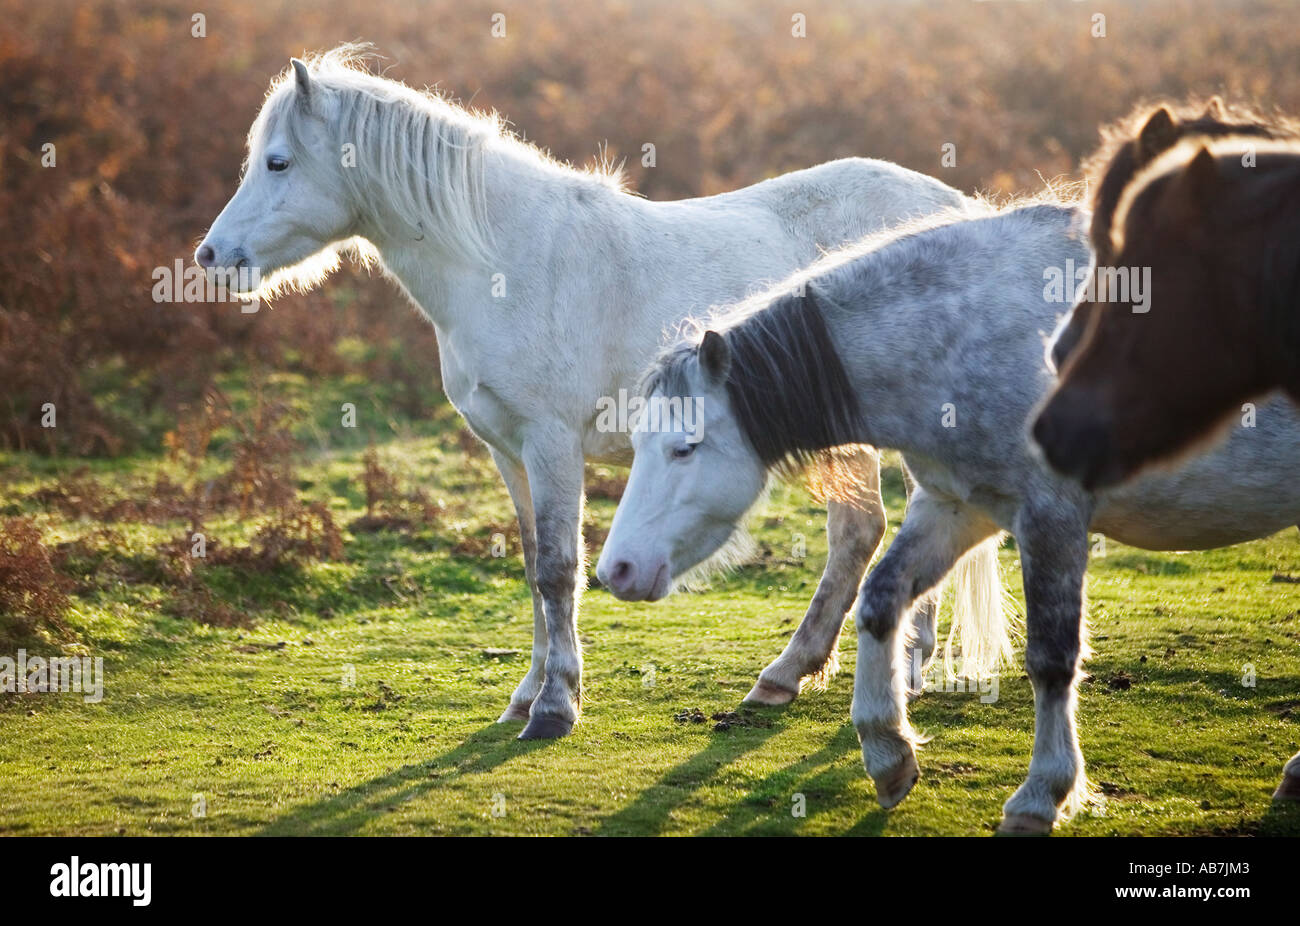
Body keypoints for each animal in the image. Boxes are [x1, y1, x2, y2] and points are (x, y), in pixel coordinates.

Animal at [194, 46, 977, 740]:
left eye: (278, 162)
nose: (211, 257)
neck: (505, 262)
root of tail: (952, 208)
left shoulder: (551, 444)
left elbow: (558, 569)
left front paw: (555, 708)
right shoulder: (507, 450)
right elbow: (531, 564)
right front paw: (524, 695)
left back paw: (877, 670)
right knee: (868, 529)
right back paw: (812, 674)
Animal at [596, 200, 1300, 833]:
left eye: (684, 447)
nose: (616, 569)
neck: (966, 336)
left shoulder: (1051, 518)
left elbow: (1052, 656)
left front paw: (1041, 795)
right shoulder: (958, 509)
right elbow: (881, 600)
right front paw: (888, 754)